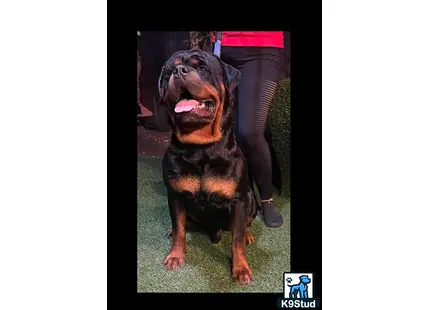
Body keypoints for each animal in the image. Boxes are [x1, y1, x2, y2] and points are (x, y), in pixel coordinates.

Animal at [158, 47, 258, 284]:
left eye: (202, 68)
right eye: (168, 71)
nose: (178, 70)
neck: (200, 149)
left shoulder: (239, 201)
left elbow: (236, 240)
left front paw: (240, 268)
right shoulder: (175, 195)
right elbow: (179, 228)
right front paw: (176, 255)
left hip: (251, 199)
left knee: (245, 225)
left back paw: (249, 235)